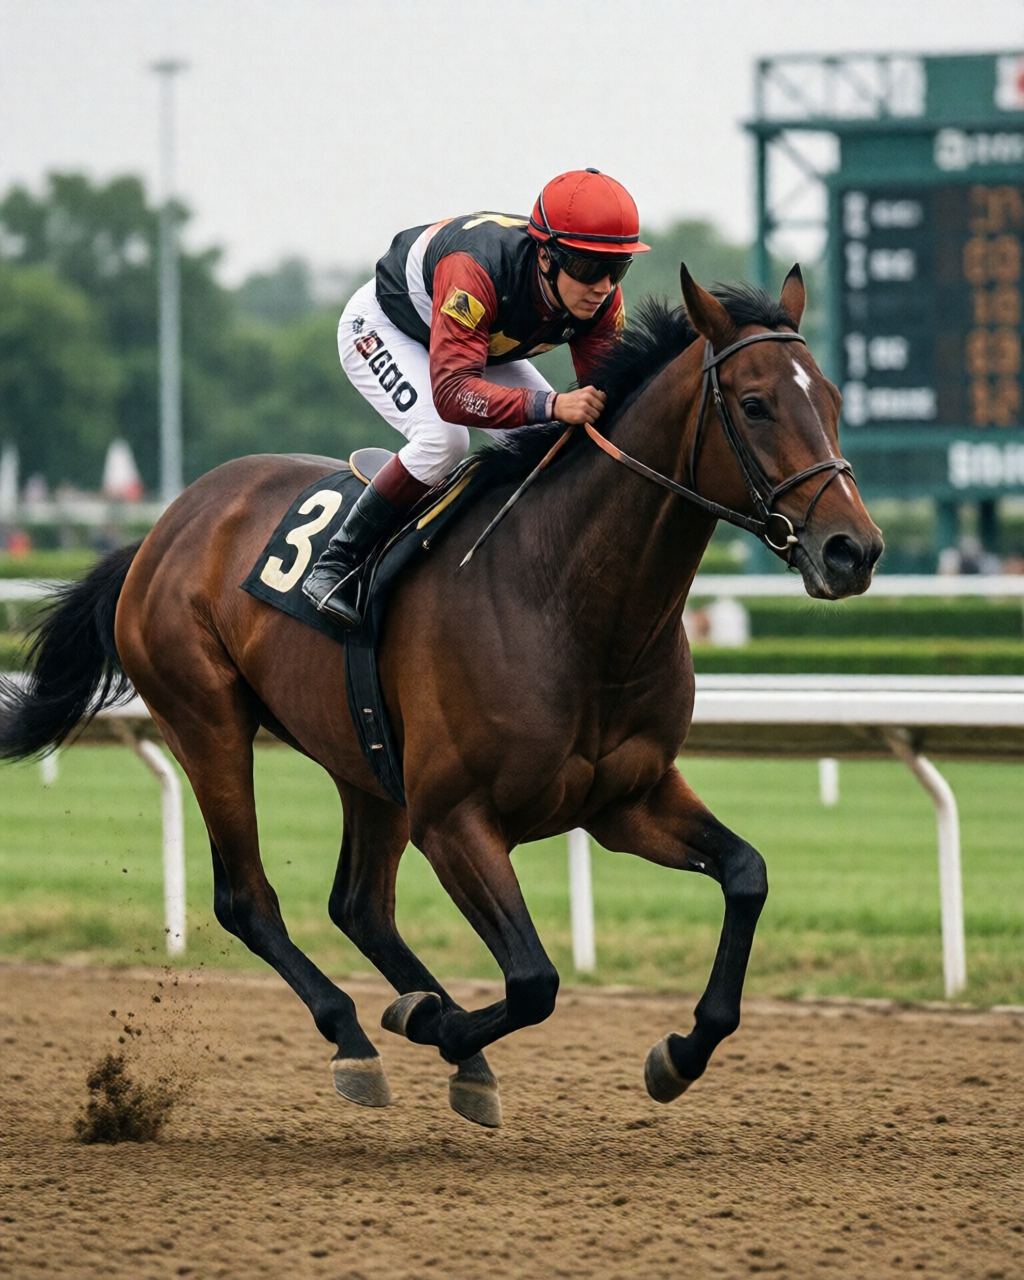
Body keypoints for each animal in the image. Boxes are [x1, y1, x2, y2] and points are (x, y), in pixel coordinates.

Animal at [0, 266, 882, 1129]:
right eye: (756, 403)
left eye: (834, 399)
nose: (855, 550)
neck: (570, 600)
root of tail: (164, 528)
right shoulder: (455, 818)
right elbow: (534, 979)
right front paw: (436, 1024)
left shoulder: (625, 799)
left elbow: (747, 874)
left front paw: (679, 1052)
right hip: (206, 722)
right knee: (249, 900)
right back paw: (361, 1035)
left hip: (365, 760)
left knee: (359, 905)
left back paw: (435, 1029)